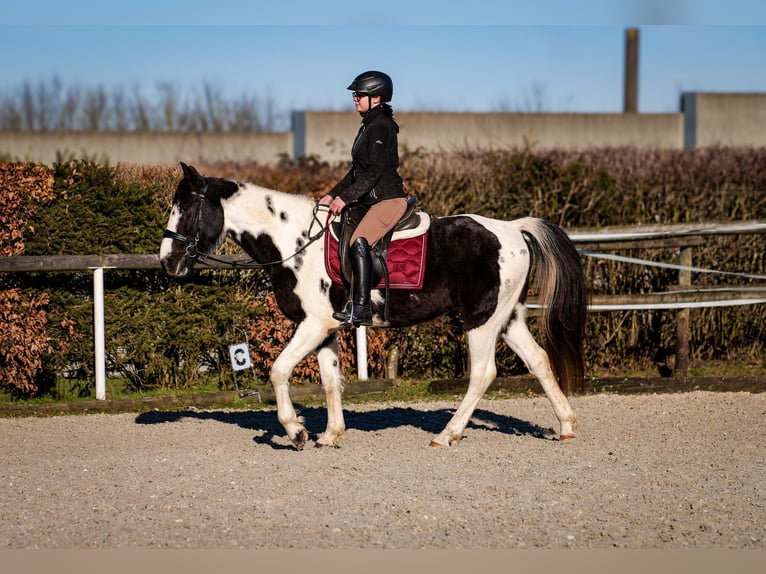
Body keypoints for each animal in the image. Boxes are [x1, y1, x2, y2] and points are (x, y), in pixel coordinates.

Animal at [158, 162, 588, 450]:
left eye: (187, 208)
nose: (167, 261)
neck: (293, 241)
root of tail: (513, 229)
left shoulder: (311, 325)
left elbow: (279, 371)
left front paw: (296, 431)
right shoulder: (326, 329)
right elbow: (331, 381)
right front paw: (330, 435)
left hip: (480, 320)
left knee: (483, 374)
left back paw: (446, 435)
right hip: (507, 317)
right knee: (539, 361)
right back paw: (566, 426)